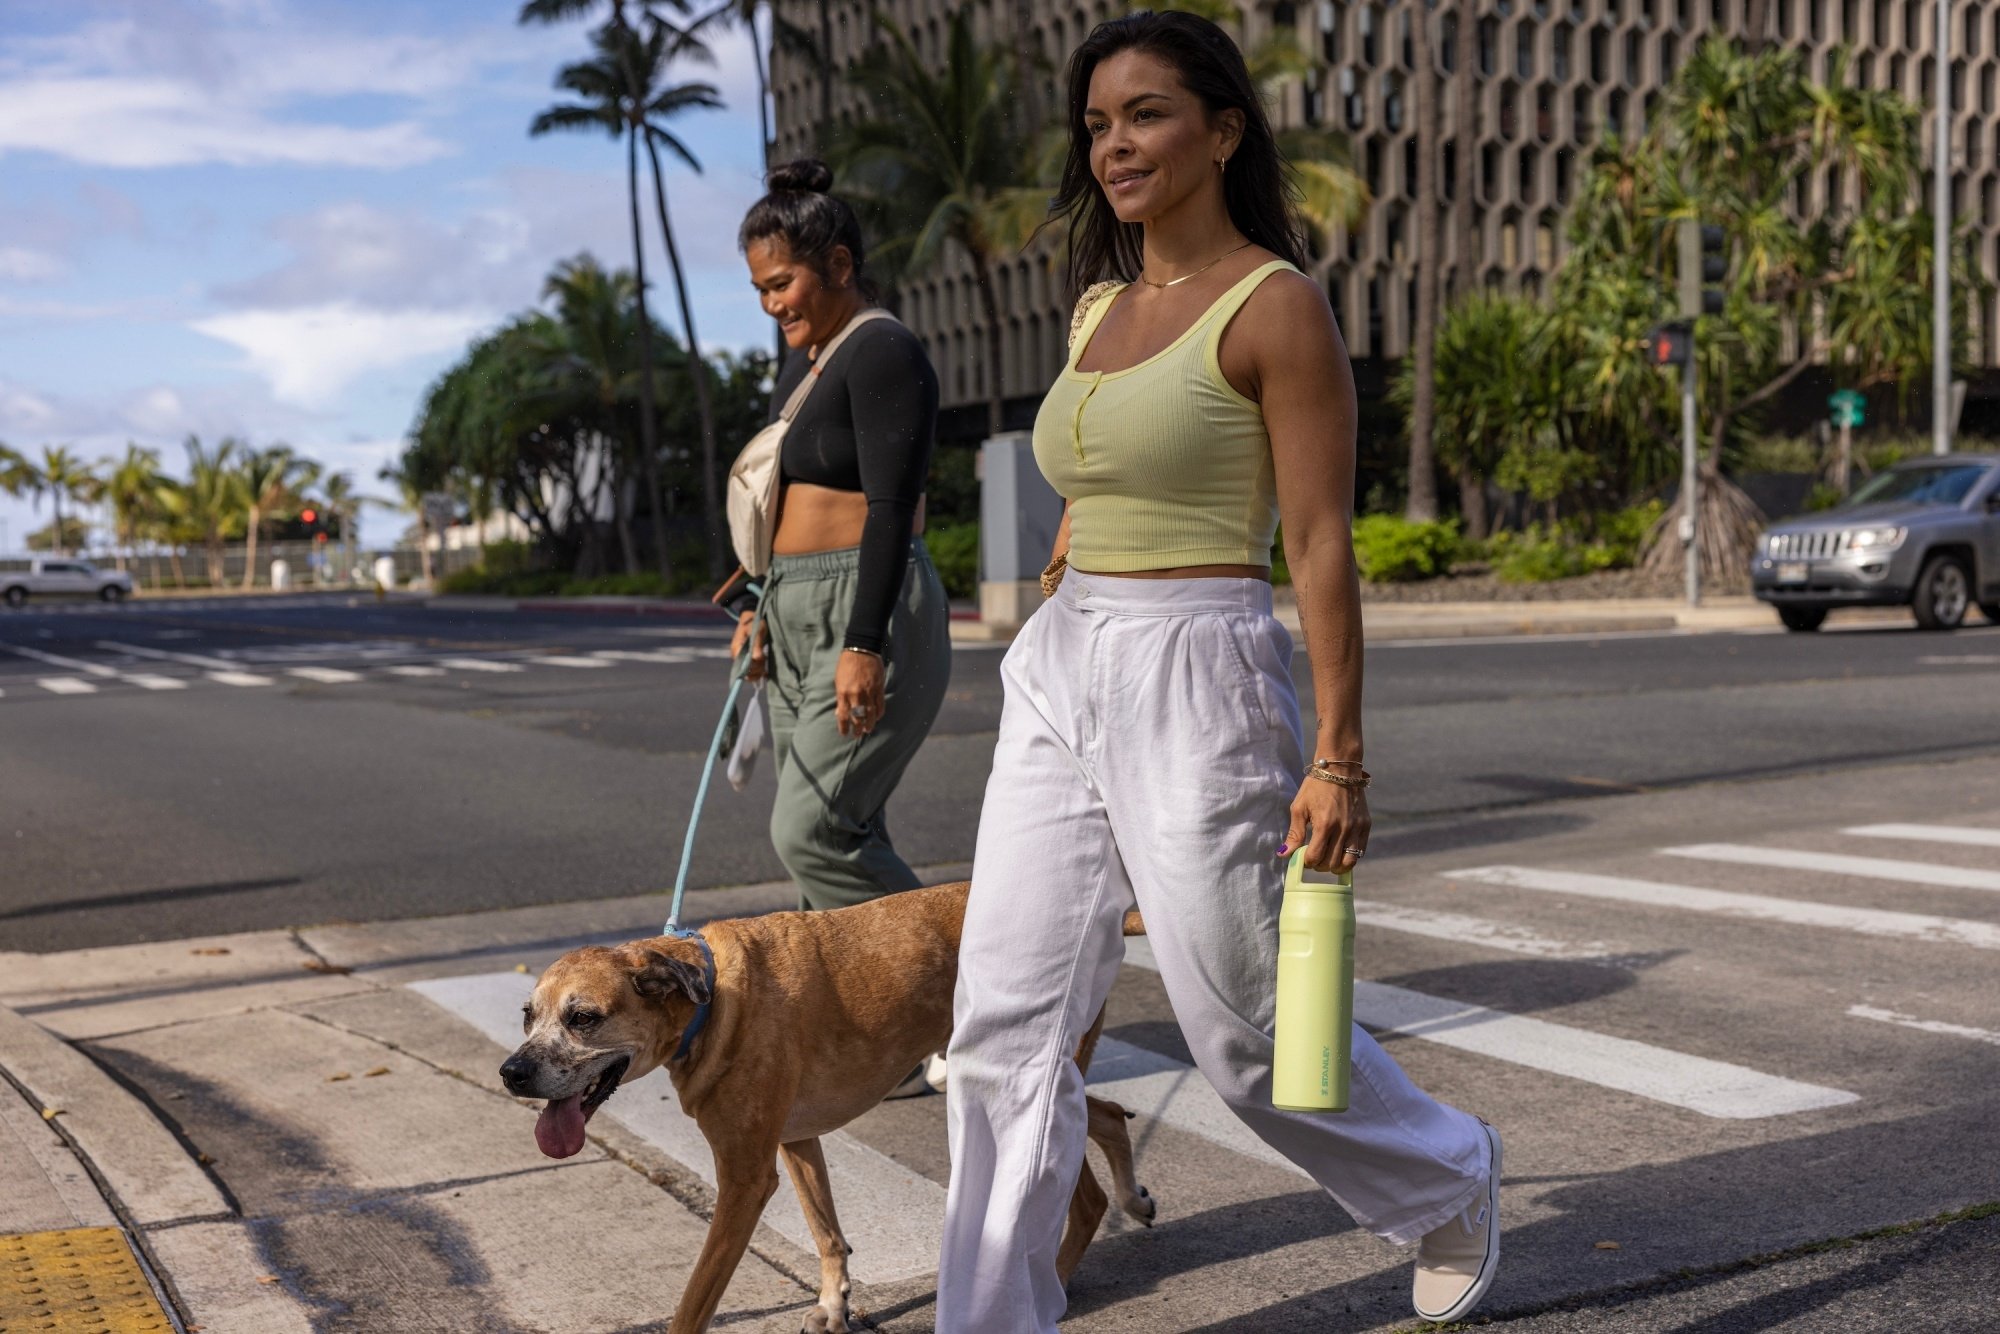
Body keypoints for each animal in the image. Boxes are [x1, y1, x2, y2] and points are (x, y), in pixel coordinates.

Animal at [504, 888, 1160, 1334]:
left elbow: (693, 1301)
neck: (710, 1003)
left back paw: (1051, 1289)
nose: (512, 1073)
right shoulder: (796, 1141)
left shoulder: (744, 1180)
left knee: (1087, 1197)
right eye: (528, 1015)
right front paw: (833, 1304)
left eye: (583, 1017)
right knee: (1106, 1113)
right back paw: (1132, 1196)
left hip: (1016, 1082)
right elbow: (826, 1233)